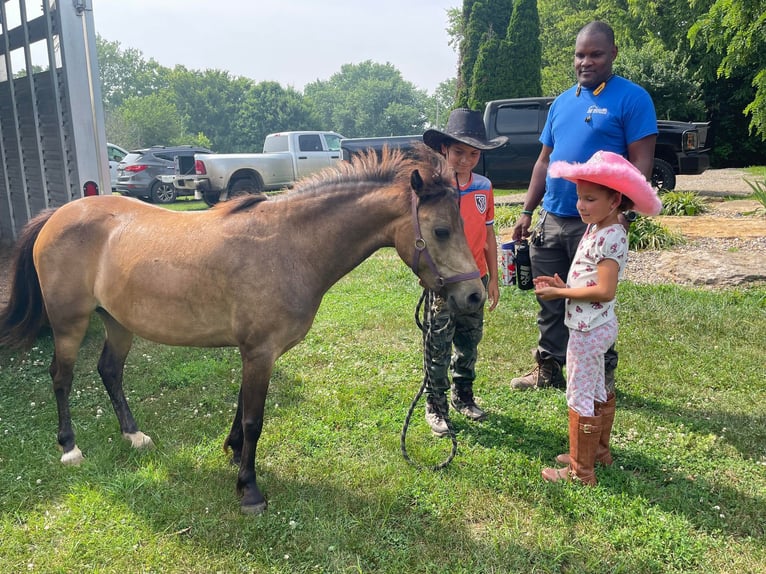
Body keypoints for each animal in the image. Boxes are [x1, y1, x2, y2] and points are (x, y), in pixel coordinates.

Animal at [0, 146, 486, 516]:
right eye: (441, 230)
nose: (474, 296)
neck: (290, 246)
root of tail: (58, 215)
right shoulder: (259, 352)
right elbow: (254, 419)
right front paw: (248, 488)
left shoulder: (254, 353)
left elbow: (240, 410)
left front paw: (232, 452)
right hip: (69, 324)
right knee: (62, 378)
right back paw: (69, 447)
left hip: (117, 322)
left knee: (109, 372)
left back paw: (133, 435)